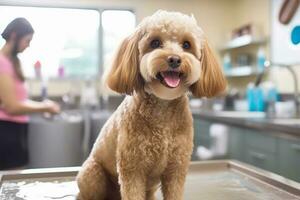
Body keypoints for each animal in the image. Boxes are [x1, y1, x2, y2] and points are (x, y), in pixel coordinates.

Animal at [76, 10, 226, 200]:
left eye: (186, 45)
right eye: (155, 43)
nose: (174, 59)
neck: (162, 107)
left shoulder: (176, 168)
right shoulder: (132, 169)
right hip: (92, 174)